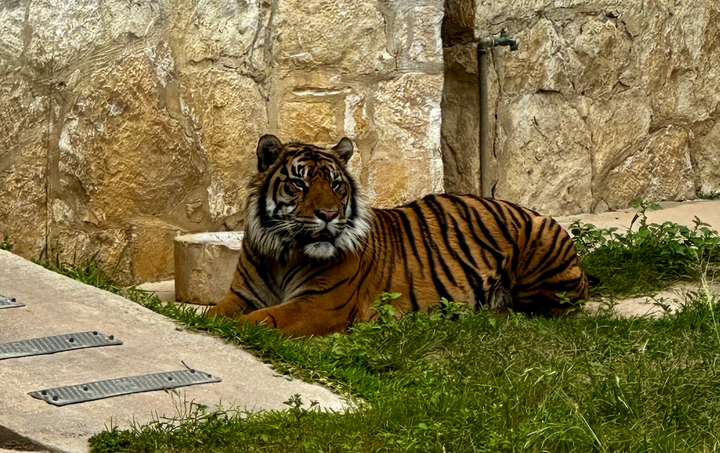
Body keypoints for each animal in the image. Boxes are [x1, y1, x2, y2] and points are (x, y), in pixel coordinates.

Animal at [208, 135, 589, 337]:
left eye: (335, 185)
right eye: (298, 184)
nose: (329, 215)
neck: (283, 254)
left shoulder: (321, 303)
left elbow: (262, 319)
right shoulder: (241, 294)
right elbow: (214, 312)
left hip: (541, 249)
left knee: (540, 312)